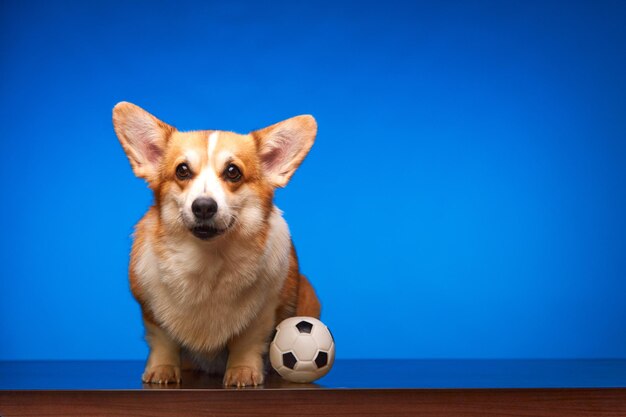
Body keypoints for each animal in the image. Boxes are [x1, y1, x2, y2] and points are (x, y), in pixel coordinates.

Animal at [111, 101, 322, 386]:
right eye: (182, 170)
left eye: (233, 172)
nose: (203, 206)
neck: (207, 260)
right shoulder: (150, 310)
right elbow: (163, 340)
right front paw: (162, 369)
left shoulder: (263, 313)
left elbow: (247, 341)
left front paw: (242, 371)